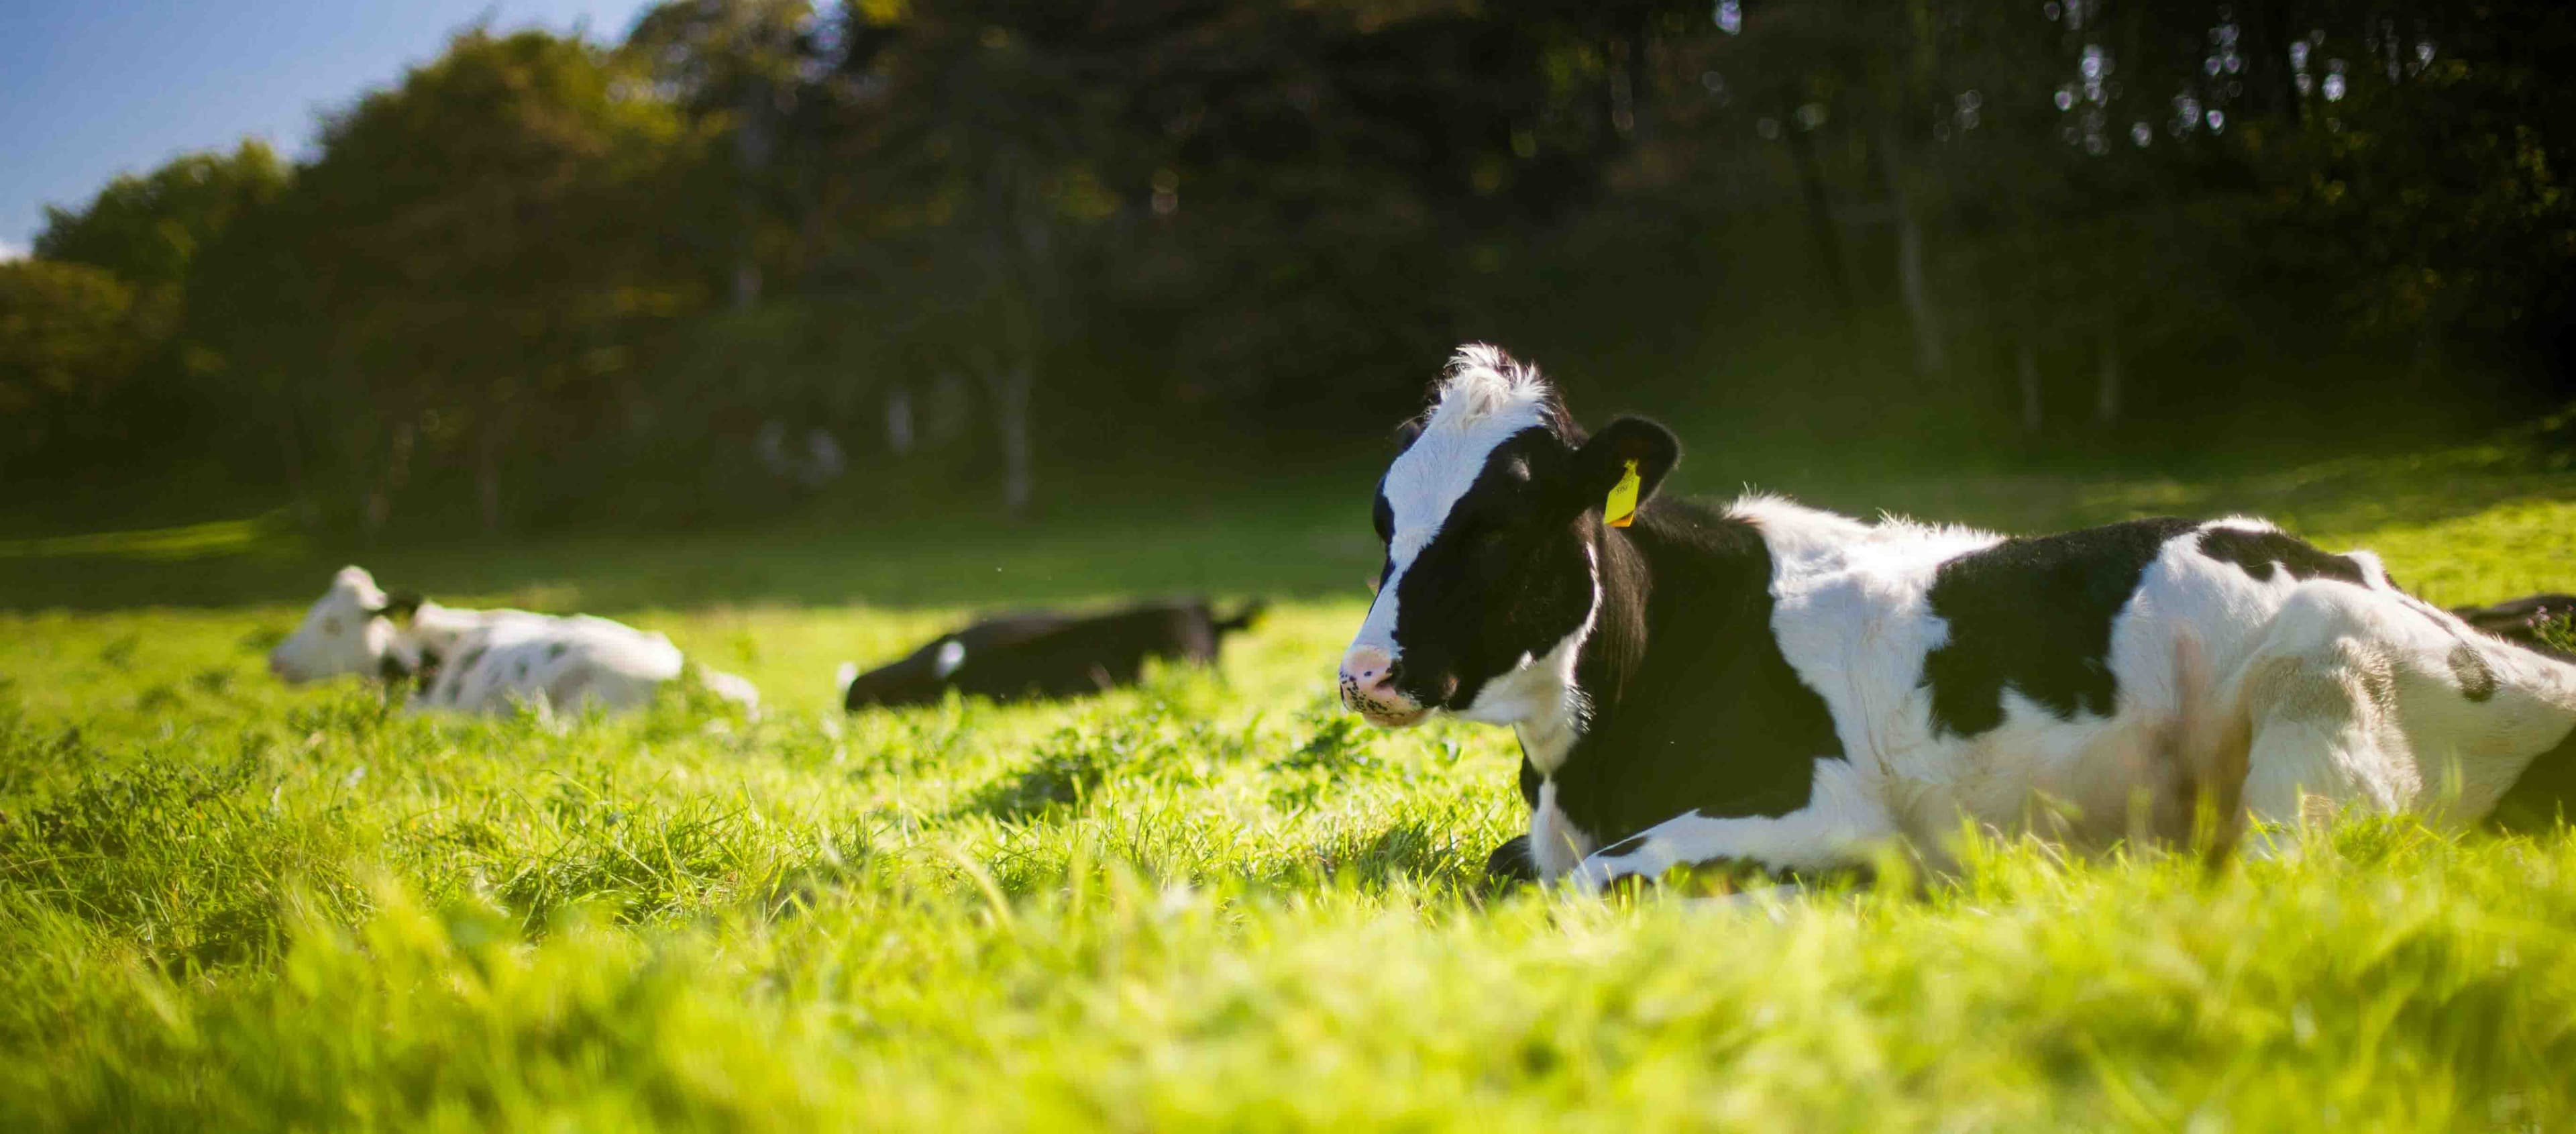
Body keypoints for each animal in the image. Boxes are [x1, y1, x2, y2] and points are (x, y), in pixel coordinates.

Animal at [1337, 344, 2576, 892]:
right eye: (1383, 515)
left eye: (1499, 524)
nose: (1363, 673)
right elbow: (1517, 869)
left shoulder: (1820, 804)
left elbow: (1596, 878)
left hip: (2319, 721)